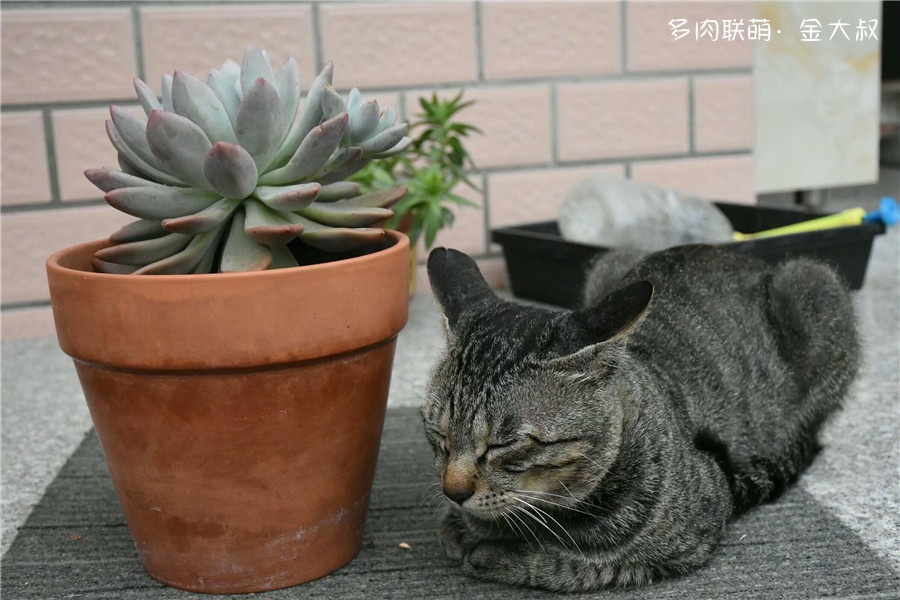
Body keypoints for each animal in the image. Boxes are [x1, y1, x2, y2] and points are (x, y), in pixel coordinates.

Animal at [422, 244, 856, 592]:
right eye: (438, 432)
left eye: (505, 443)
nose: (452, 491)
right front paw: (460, 529)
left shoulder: (691, 535)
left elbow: (584, 566)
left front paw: (496, 554)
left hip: (814, 283)